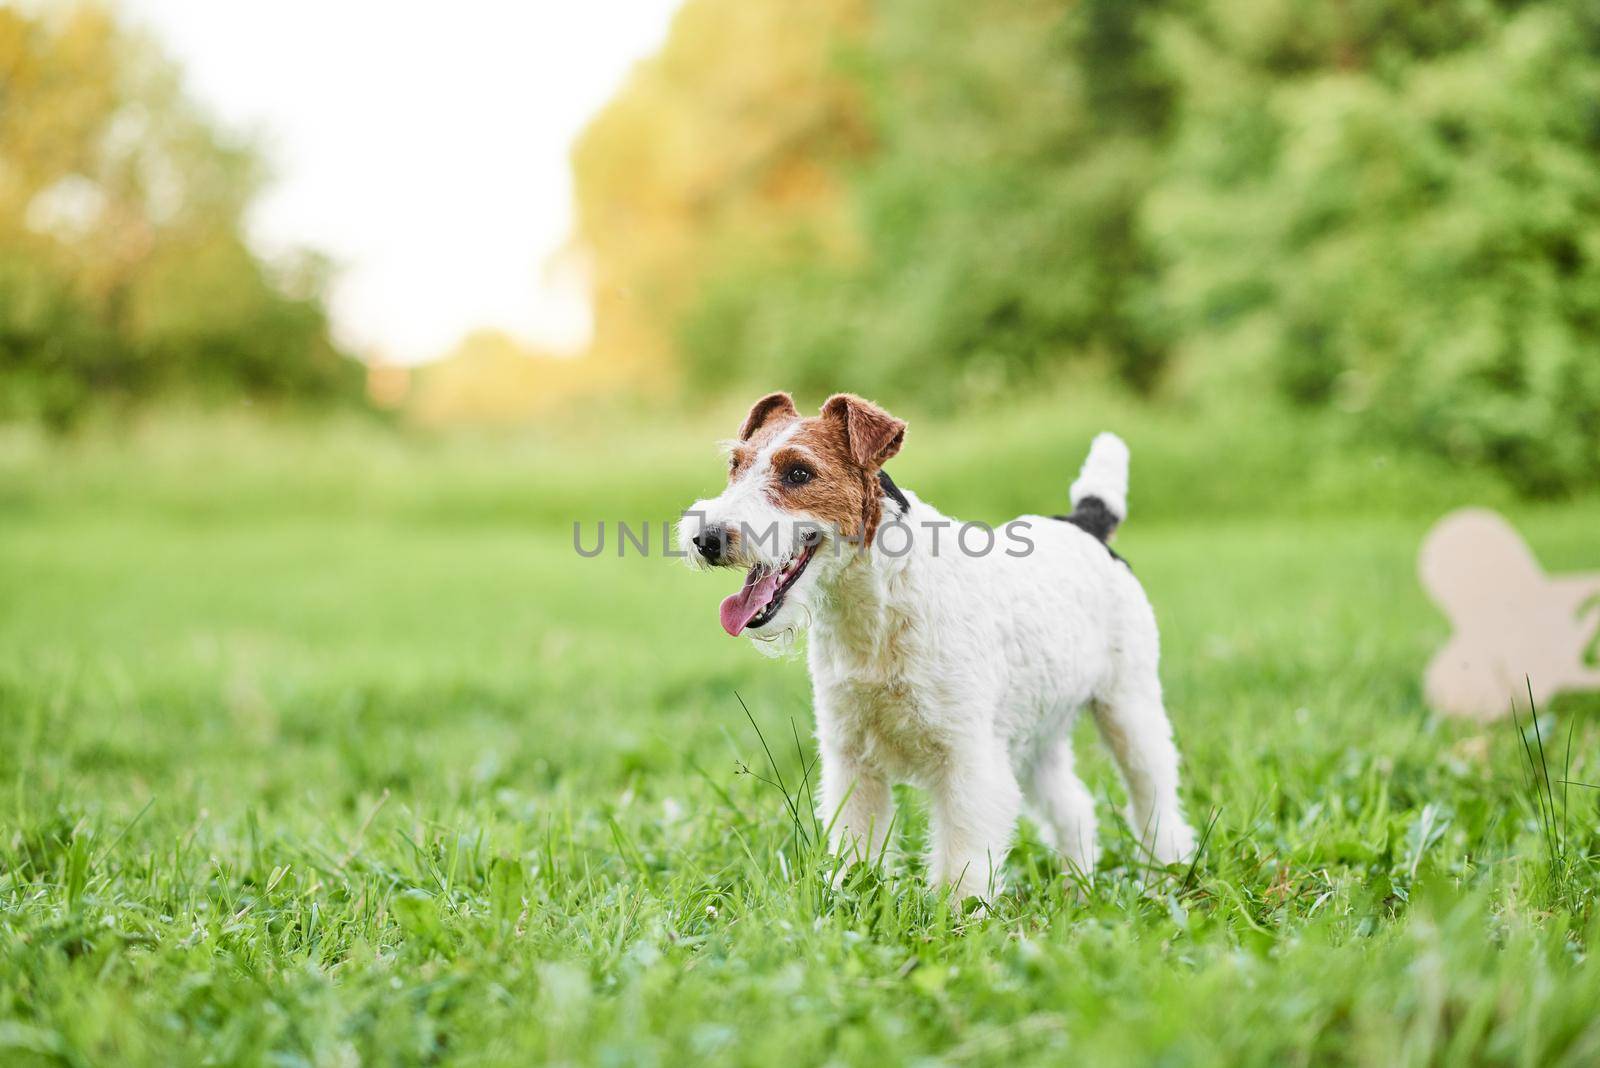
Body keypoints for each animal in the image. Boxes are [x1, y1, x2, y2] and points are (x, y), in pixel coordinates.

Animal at [681, 394, 1196, 901]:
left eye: (799, 473)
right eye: (735, 464)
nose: (707, 538)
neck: (875, 608)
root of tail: (1085, 524)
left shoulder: (966, 758)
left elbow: (963, 861)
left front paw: (960, 914)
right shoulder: (851, 757)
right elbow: (856, 846)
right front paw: (852, 899)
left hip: (1128, 709)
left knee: (1156, 801)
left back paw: (1165, 877)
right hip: (1035, 731)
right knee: (1075, 807)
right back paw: (1078, 885)